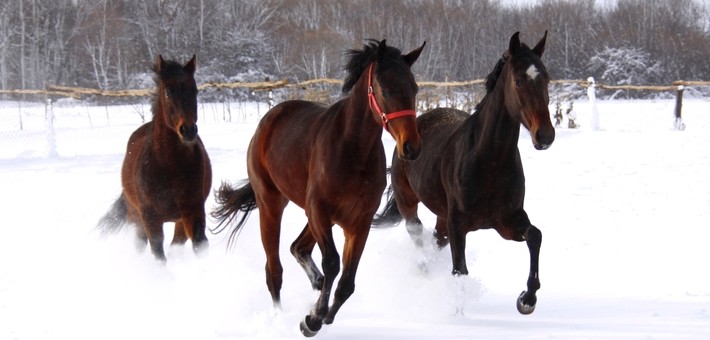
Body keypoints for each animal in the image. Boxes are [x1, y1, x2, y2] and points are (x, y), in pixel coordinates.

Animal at [98, 55, 213, 262]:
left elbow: (199, 244)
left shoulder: (194, 210)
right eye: (167, 92)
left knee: (176, 242)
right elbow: (158, 252)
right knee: (141, 244)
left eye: (195, 90)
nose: (188, 131)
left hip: (179, 220)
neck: (169, 165)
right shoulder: (150, 217)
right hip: (136, 217)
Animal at [209, 39, 426, 334]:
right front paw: (312, 319)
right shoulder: (319, 211)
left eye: (414, 88)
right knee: (274, 270)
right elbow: (332, 263)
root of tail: (269, 120)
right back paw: (279, 317)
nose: (412, 148)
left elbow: (347, 282)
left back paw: (315, 283)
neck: (352, 151)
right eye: (386, 89)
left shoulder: (358, 221)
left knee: (298, 247)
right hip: (272, 204)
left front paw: (320, 316)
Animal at [372, 30, 556, 314]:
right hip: (409, 205)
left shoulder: (507, 222)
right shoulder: (458, 225)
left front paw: (527, 299)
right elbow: (460, 270)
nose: (545, 136)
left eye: (546, 78)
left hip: (442, 219)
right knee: (418, 237)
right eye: (518, 80)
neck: (489, 163)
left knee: (436, 240)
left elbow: (535, 236)